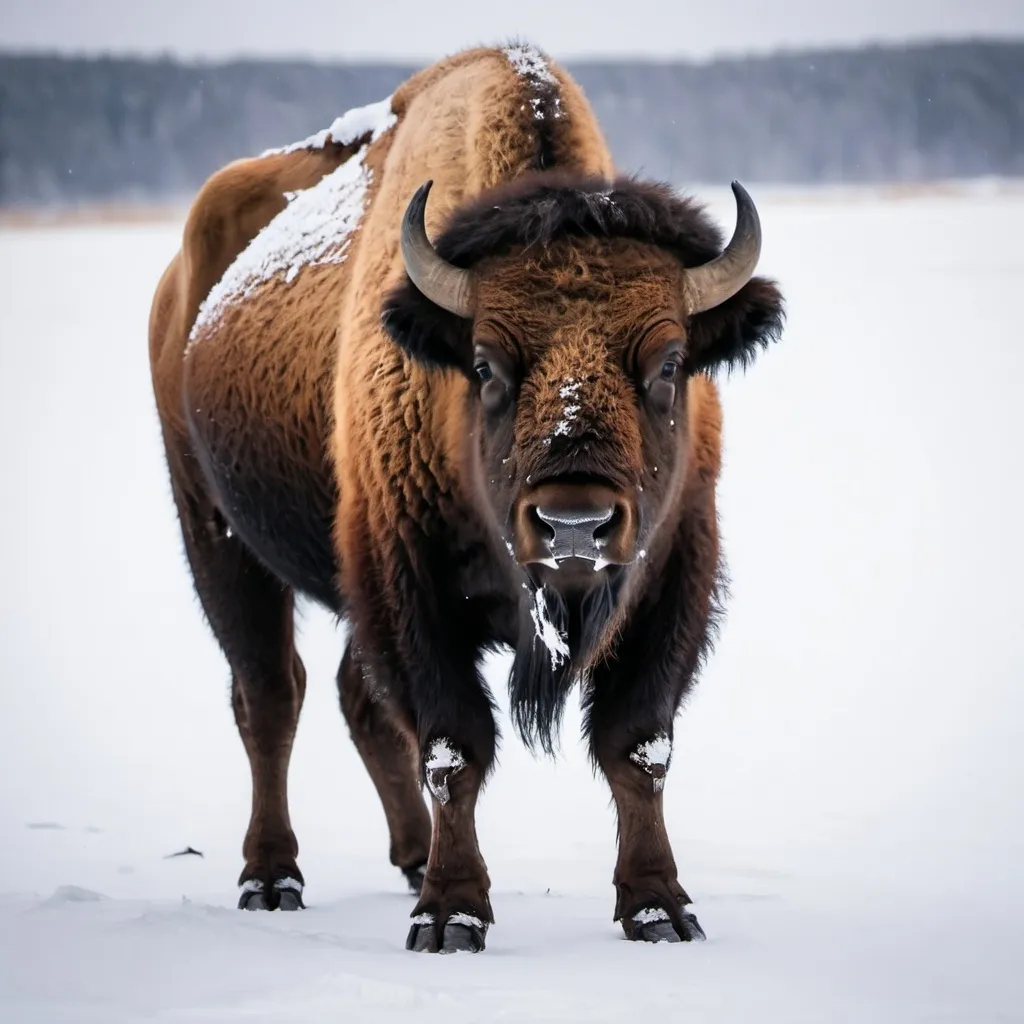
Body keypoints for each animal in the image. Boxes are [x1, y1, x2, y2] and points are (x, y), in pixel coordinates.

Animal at [148, 41, 782, 950]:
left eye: (668, 364)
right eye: (484, 365)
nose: (575, 524)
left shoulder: (671, 579)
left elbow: (637, 745)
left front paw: (661, 909)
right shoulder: (408, 580)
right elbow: (454, 745)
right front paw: (450, 916)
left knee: (351, 700)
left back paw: (408, 857)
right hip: (217, 533)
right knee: (270, 696)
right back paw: (271, 877)